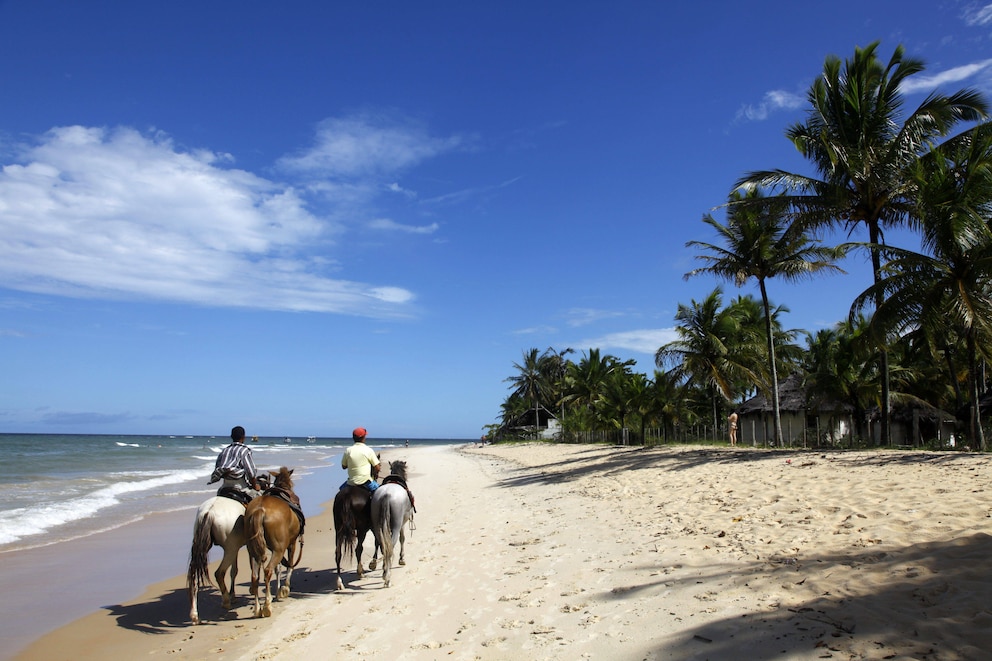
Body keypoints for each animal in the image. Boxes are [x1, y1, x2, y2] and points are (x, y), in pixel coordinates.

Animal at [186, 496, 248, 624]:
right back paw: (226, 601)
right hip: (230, 549)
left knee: (193, 577)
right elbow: (235, 571)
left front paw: (233, 594)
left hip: (204, 545)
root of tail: (209, 511)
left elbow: (234, 571)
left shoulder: (237, 548)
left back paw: (194, 614)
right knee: (219, 573)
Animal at [245, 466, 302, 616]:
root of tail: (260, 510)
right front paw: (285, 588)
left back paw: (258, 608)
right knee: (267, 571)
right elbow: (290, 565)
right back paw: (267, 606)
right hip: (279, 549)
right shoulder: (291, 543)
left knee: (255, 576)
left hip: (253, 551)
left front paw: (277, 592)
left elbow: (279, 568)